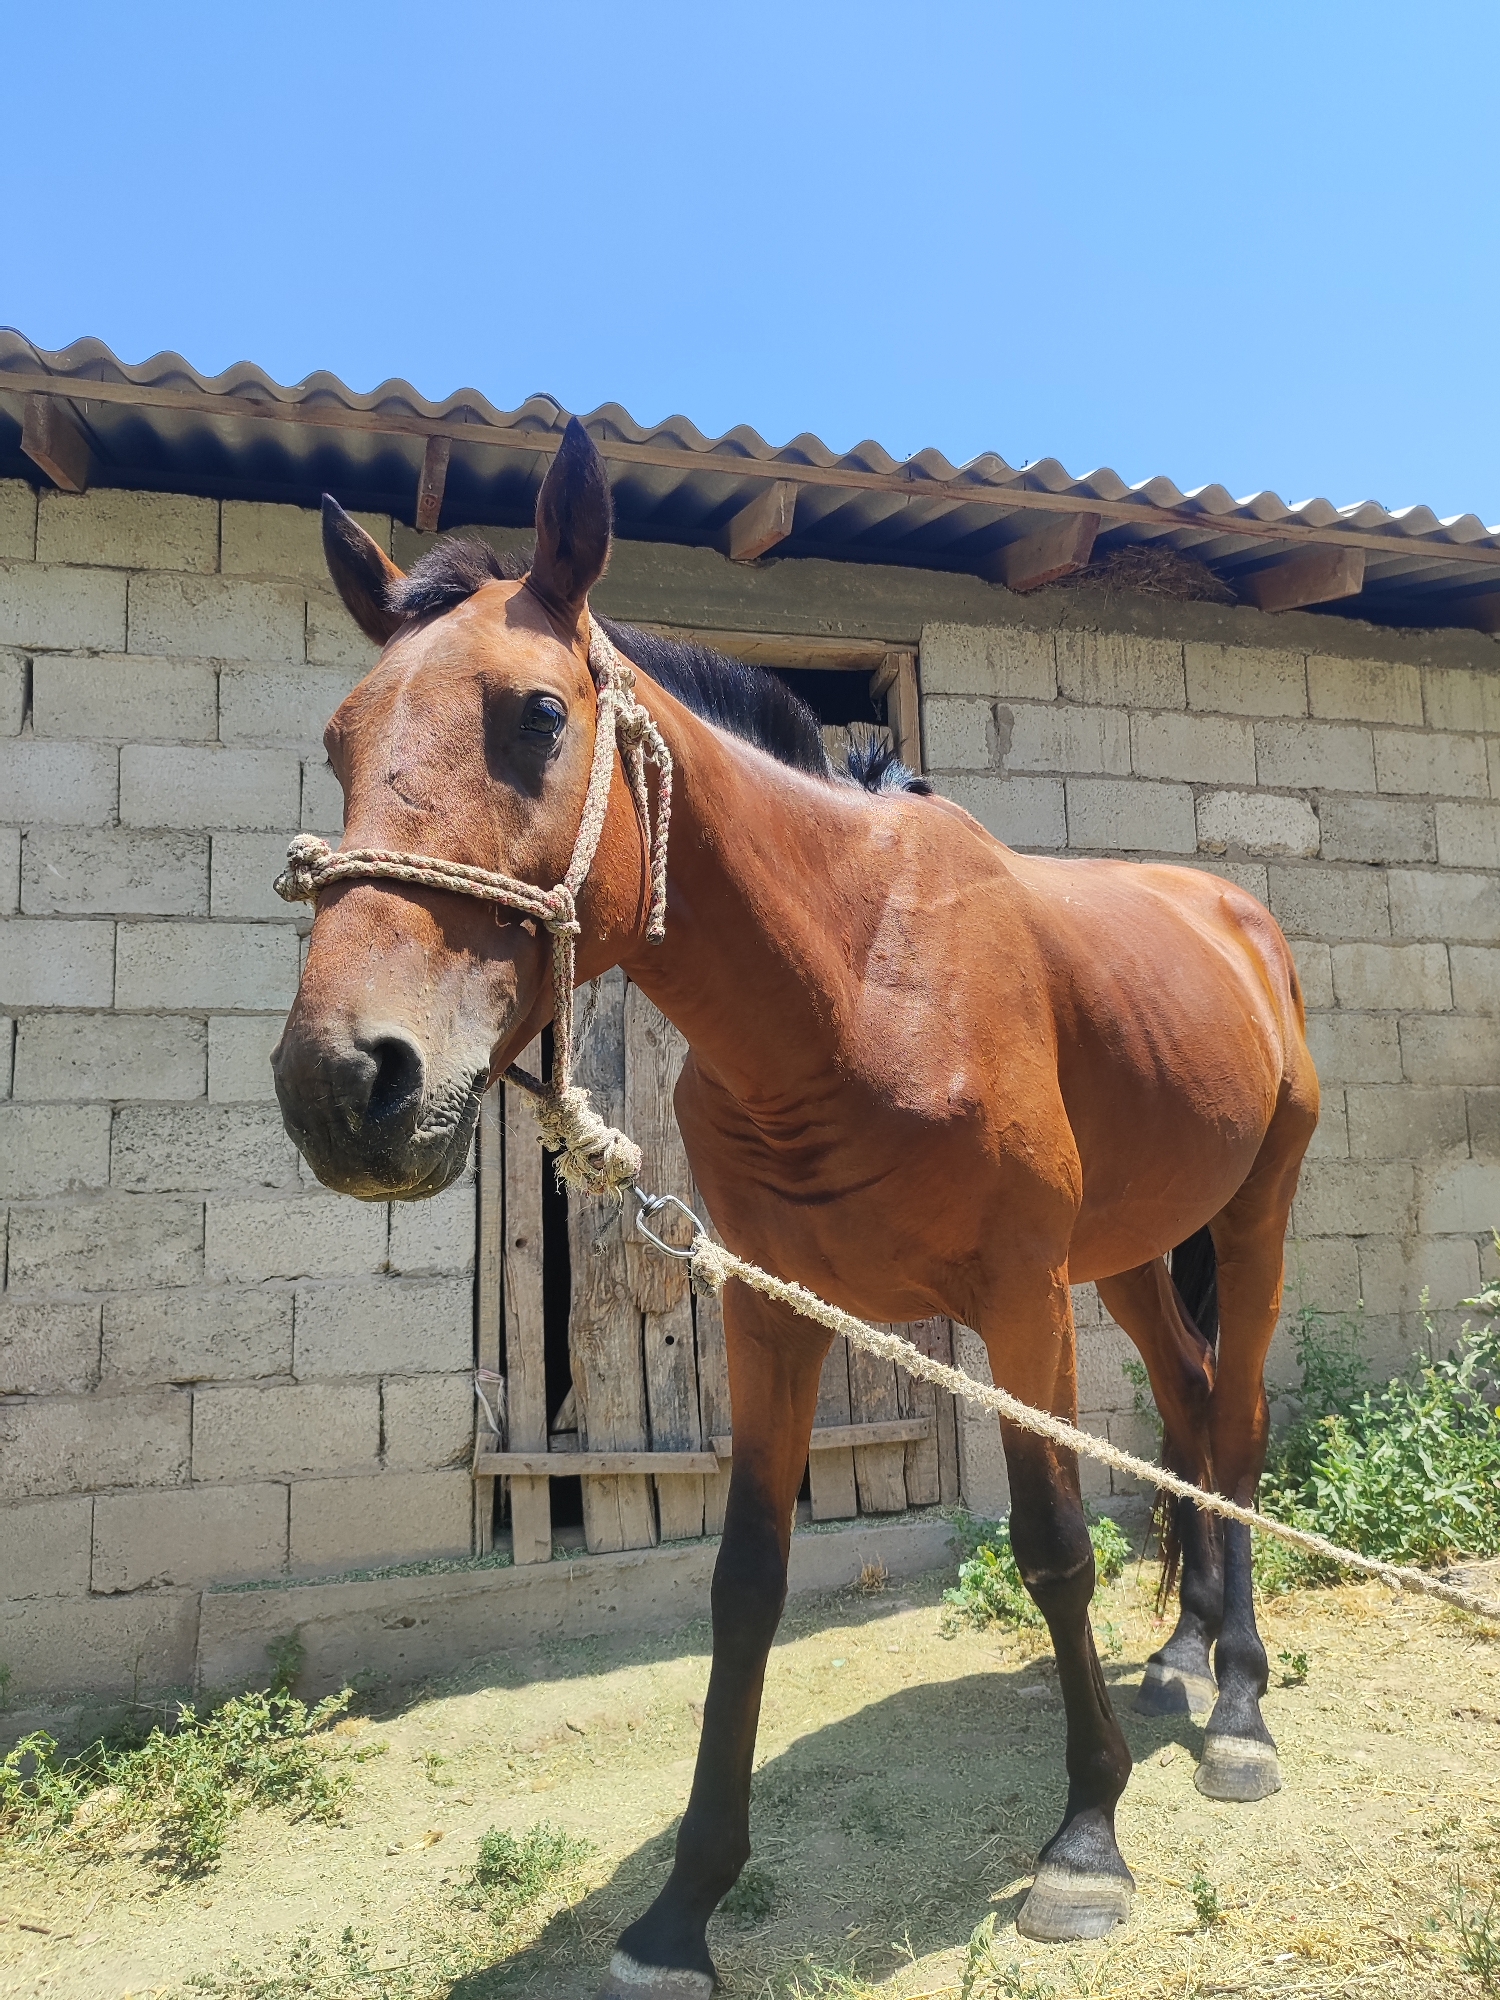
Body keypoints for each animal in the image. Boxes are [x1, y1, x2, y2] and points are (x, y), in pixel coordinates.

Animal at [272, 419, 1319, 1998]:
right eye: (337, 740)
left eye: (534, 717)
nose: (346, 1080)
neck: (859, 976)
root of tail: (1238, 922)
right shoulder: (772, 1311)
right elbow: (746, 1581)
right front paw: (681, 1908)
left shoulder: (1016, 1303)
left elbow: (1054, 1546)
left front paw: (1086, 1841)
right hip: (1131, 1256)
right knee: (1193, 1408)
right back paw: (1186, 1657)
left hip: (1247, 1221)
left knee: (1239, 1422)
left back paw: (1243, 1711)